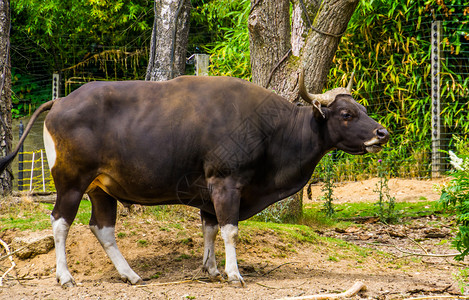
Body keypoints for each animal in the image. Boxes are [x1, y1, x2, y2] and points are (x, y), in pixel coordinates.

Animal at [0, 72, 388, 286]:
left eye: (364, 109)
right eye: (346, 113)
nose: (381, 133)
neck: (272, 129)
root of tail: (60, 101)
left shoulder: (208, 192)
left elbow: (210, 228)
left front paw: (211, 269)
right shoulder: (226, 183)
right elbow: (230, 229)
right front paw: (233, 274)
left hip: (101, 188)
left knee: (102, 227)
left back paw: (131, 275)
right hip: (71, 181)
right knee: (60, 222)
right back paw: (65, 277)